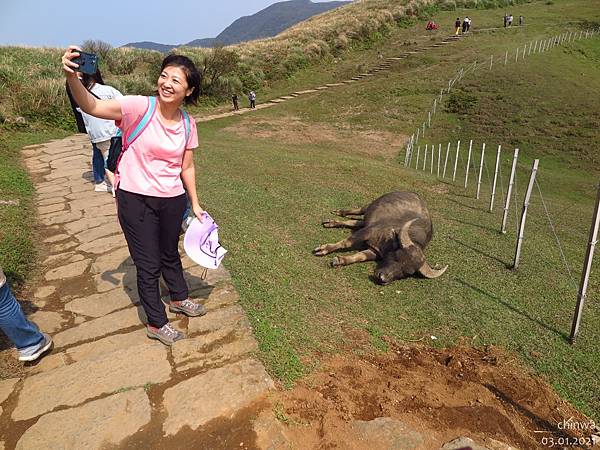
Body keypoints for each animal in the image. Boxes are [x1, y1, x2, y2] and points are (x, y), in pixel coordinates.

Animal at [314, 191, 446, 284]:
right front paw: (323, 249)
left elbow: (360, 256)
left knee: (355, 222)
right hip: (369, 206)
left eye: (406, 272)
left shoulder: (374, 251)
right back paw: (339, 212)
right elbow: (346, 242)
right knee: (358, 211)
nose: (382, 278)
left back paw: (331, 222)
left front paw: (339, 260)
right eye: (397, 256)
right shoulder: (368, 231)